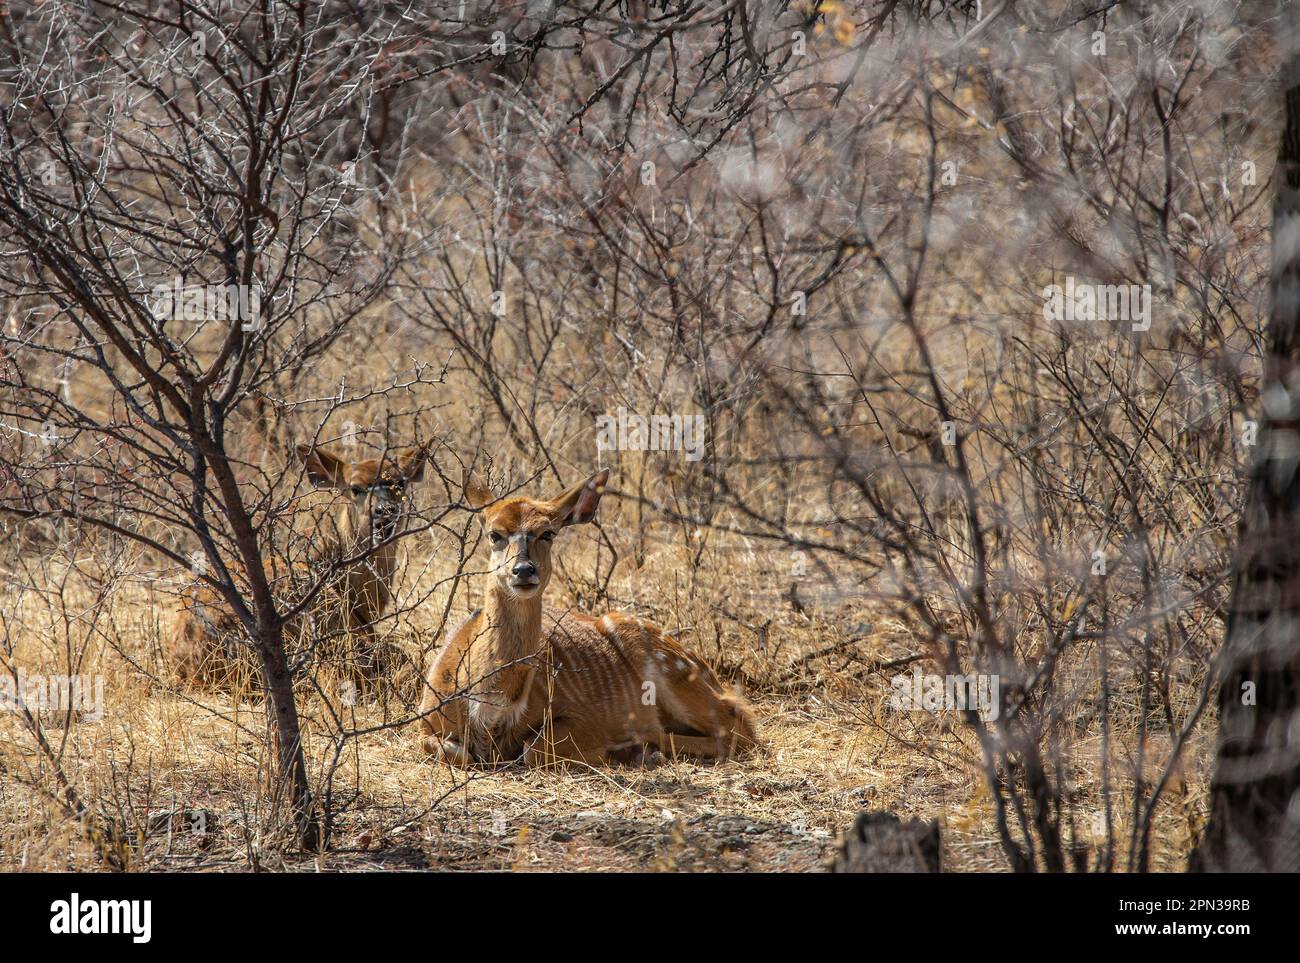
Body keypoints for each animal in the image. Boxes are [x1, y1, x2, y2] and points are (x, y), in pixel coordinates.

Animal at [416, 465, 759, 764]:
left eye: (548, 533)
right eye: (494, 534)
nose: (523, 570)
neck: (490, 710)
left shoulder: (584, 719)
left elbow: (532, 749)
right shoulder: (425, 722)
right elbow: (452, 752)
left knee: (739, 728)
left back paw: (639, 751)